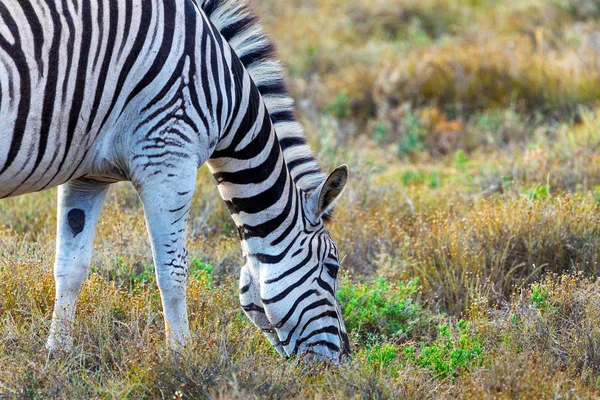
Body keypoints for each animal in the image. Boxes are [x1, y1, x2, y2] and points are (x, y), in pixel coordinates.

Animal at [0, 0, 352, 362]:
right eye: (332, 267)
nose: (344, 358)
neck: (224, 92)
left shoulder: (88, 175)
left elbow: (71, 266)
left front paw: (58, 352)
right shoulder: (168, 158)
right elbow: (172, 271)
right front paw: (182, 357)